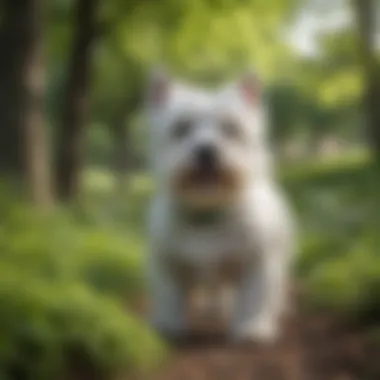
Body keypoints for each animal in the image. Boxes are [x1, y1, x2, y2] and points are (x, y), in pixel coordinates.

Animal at [144, 68, 296, 344]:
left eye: (230, 128)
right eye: (181, 128)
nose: (206, 150)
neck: (209, 214)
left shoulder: (256, 263)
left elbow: (254, 297)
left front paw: (252, 327)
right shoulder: (168, 265)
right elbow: (169, 298)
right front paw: (168, 325)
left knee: (275, 288)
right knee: (217, 292)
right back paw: (214, 306)